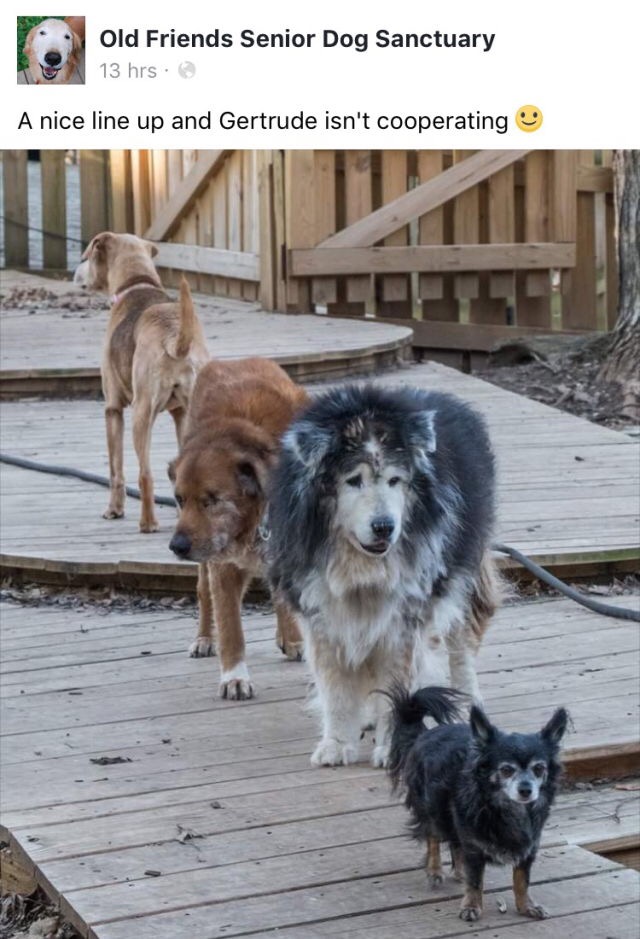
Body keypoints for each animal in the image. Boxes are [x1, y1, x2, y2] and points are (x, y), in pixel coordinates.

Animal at [75, 232, 209, 532]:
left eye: (87, 257)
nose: (76, 272)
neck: (135, 284)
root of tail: (174, 336)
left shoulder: (113, 409)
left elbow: (116, 470)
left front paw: (114, 509)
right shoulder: (179, 413)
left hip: (141, 412)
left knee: (145, 474)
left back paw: (148, 522)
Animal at [169, 358, 308, 696]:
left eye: (212, 500)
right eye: (179, 499)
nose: (176, 546)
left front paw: (292, 636)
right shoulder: (222, 563)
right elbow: (231, 626)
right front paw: (234, 677)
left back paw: (290, 637)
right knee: (203, 591)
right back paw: (204, 638)